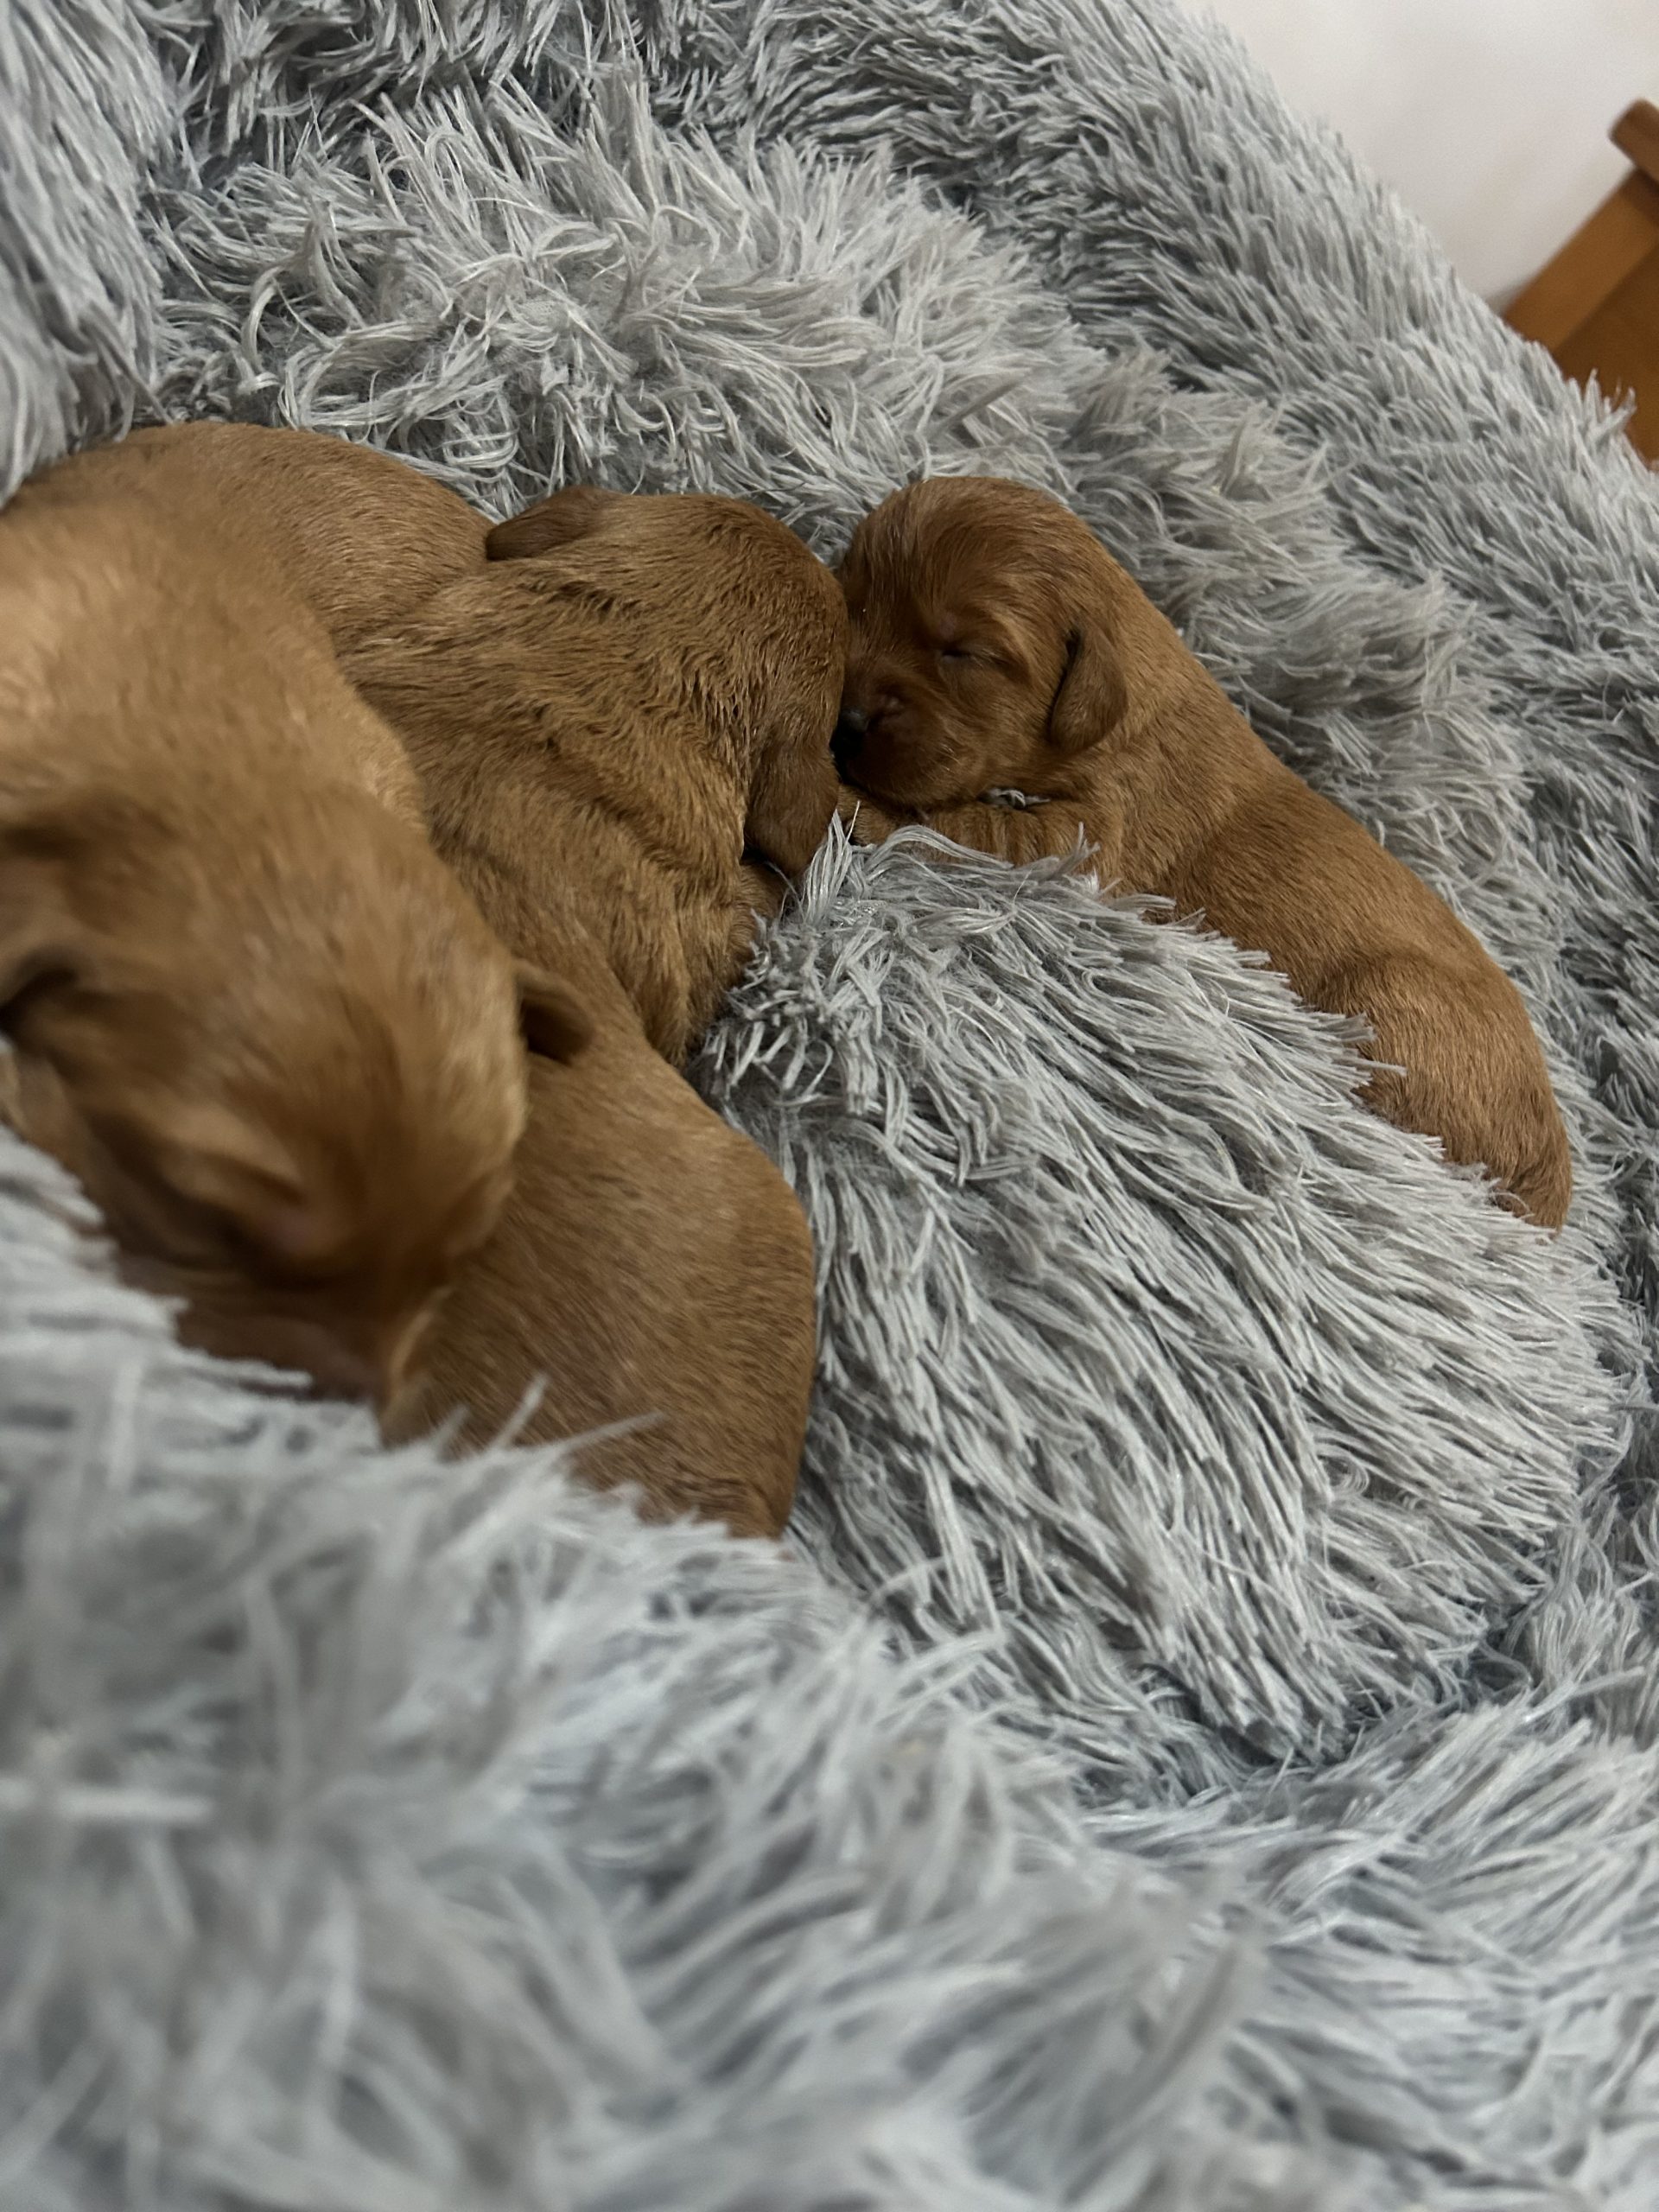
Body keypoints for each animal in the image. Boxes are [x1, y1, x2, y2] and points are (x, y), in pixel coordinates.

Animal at [836, 473, 1574, 1230]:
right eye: (851, 594)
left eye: (964, 652)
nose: (847, 720)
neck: (1121, 694)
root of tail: (1548, 1186)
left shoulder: (1092, 832)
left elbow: (968, 827)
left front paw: (860, 806)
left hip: (1390, 1004)